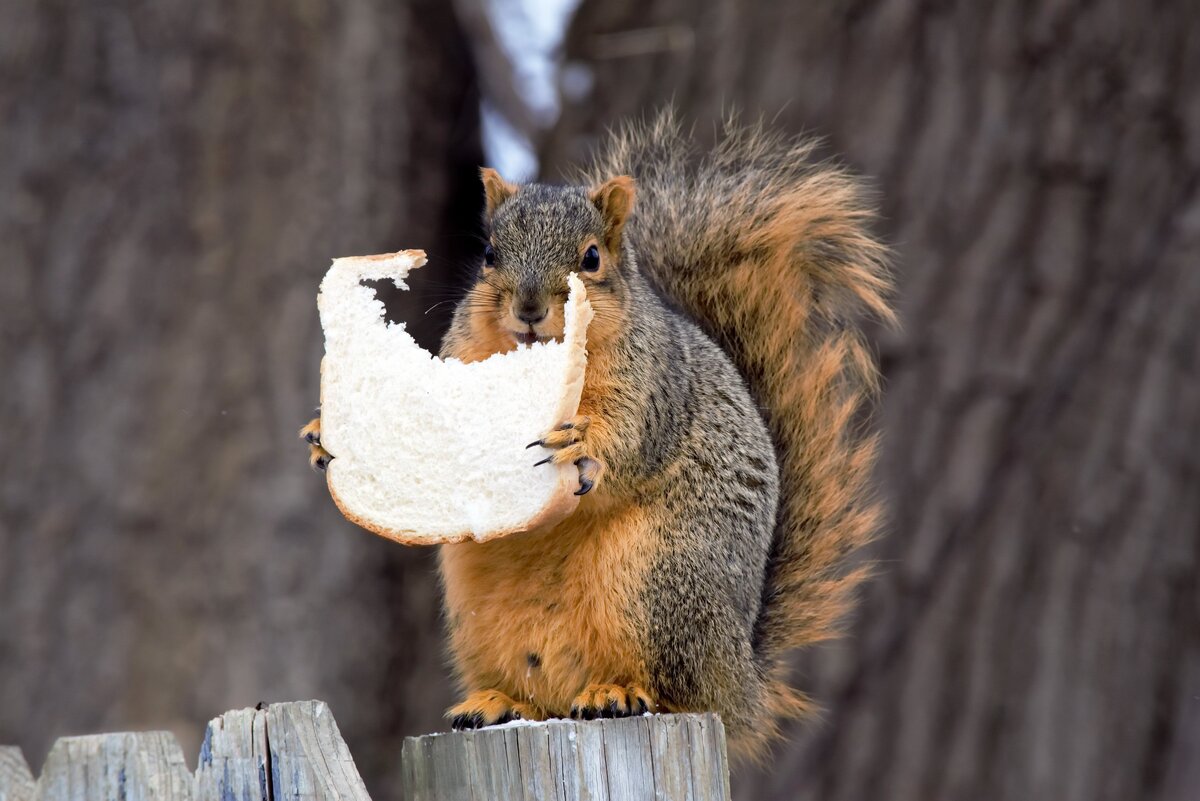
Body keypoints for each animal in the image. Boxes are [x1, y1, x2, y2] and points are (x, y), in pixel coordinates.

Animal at [304, 110, 897, 757]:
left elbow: (630, 437)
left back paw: (619, 692)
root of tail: (741, 683)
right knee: (535, 692)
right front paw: (326, 431)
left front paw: (584, 447)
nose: (530, 309)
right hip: (479, 621)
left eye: (591, 258)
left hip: (657, 582)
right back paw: (498, 703)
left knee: (673, 688)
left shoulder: (653, 385)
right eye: (489, 253)